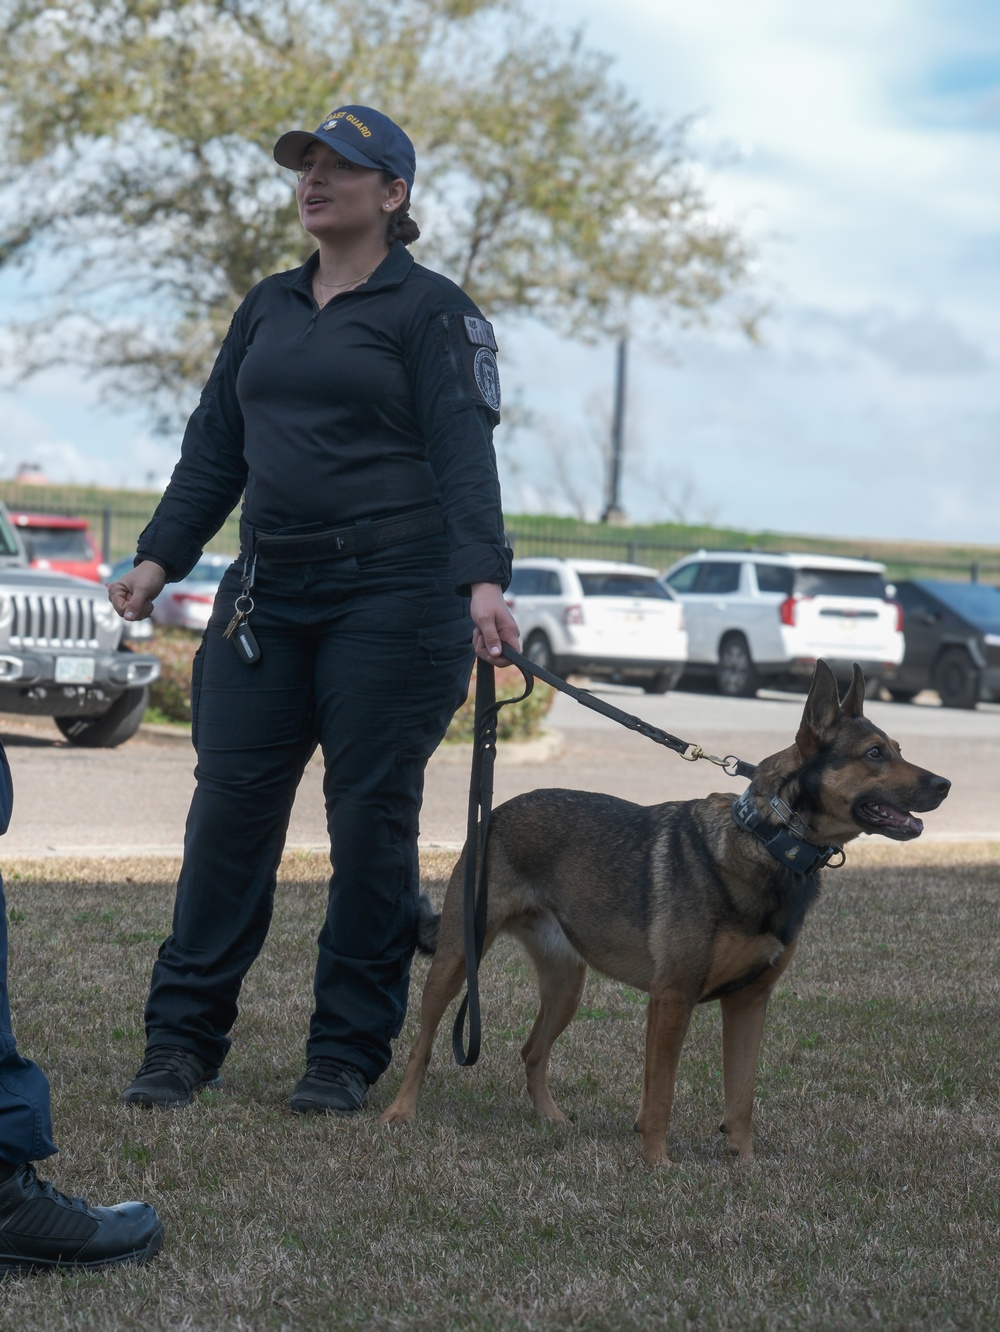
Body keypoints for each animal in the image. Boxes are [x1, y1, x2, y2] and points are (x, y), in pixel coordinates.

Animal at [386, 663, 953, 1166]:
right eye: (874, 754)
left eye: (898, 749)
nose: (945, 784)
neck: (768, 841)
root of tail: (495, 811)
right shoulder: (673, 999)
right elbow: (661, 1096)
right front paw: (657, 1164)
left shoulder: (749, 1004)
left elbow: (741, 1098)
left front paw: (744, 1165)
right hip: (457, 961)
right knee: (423, 1044)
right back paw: (400, 1114)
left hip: (567, 985)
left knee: (532, 1051)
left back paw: (551, 1120)